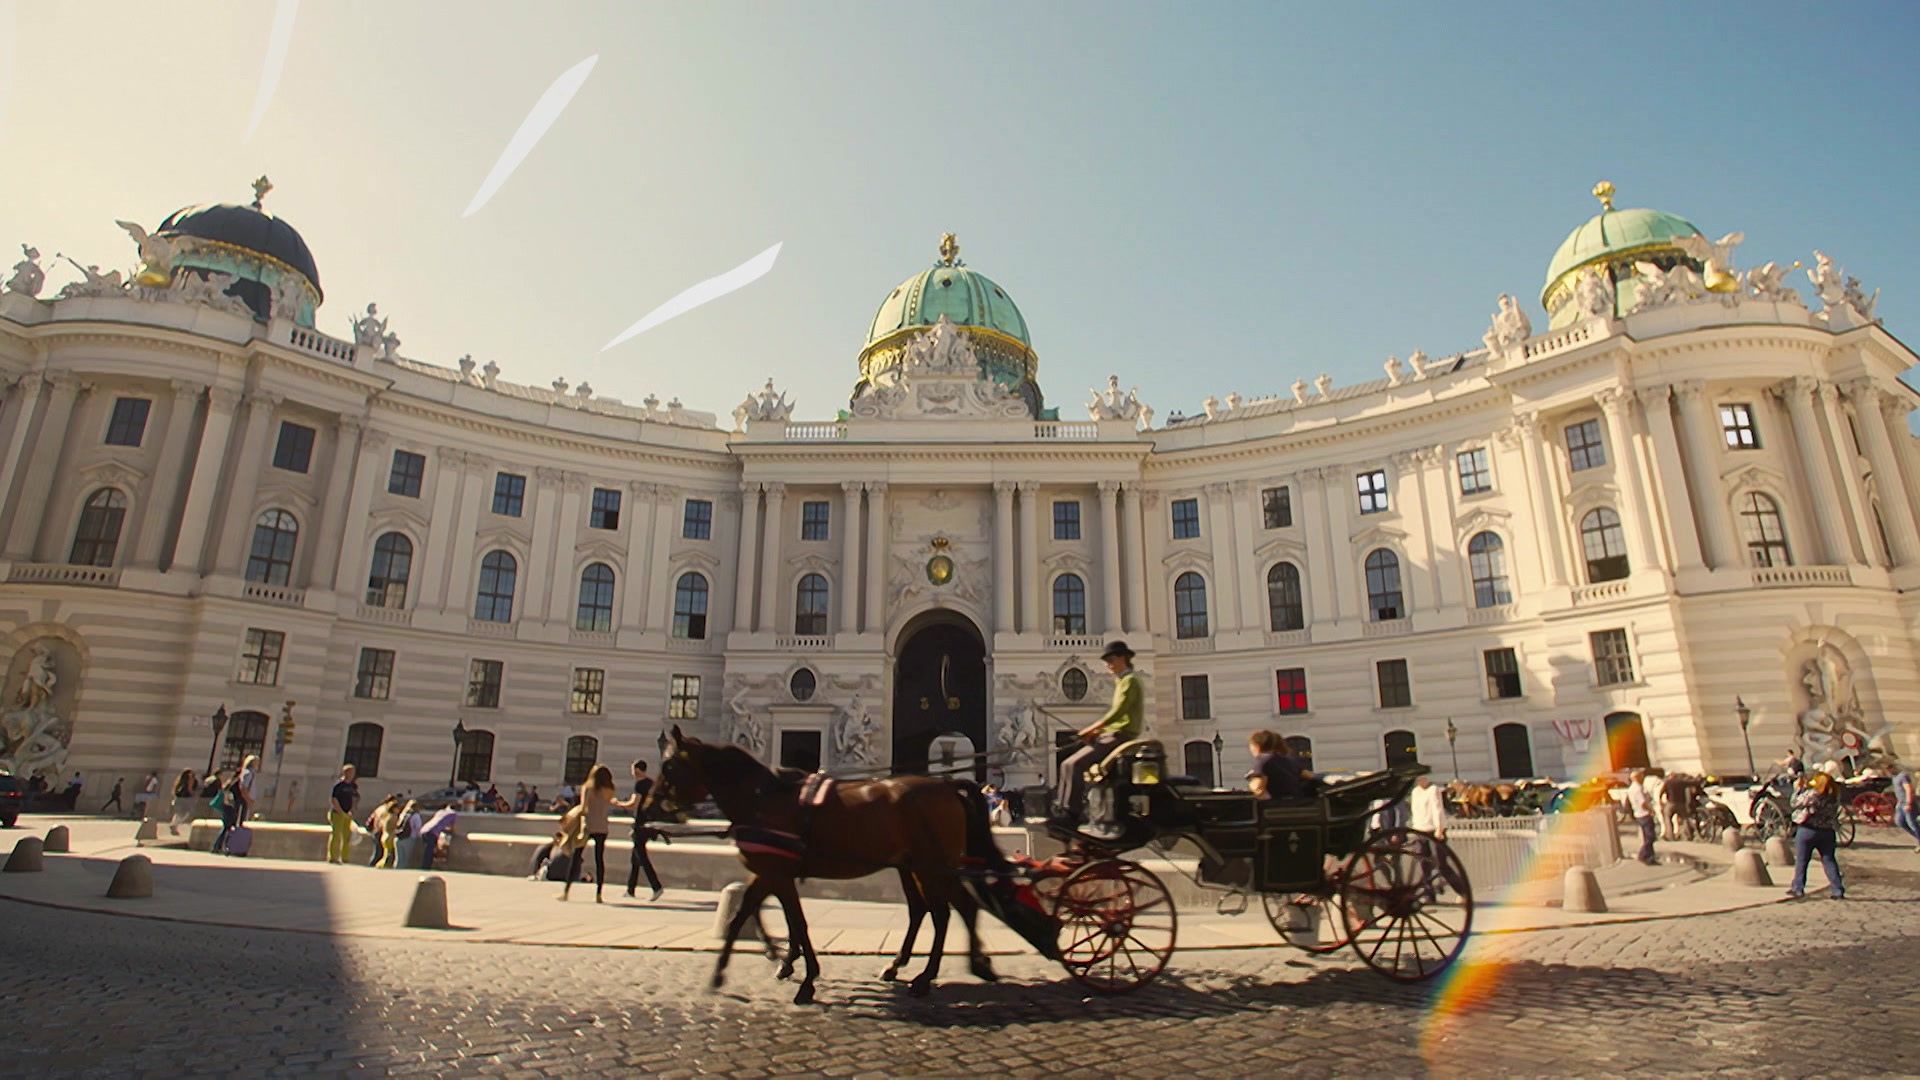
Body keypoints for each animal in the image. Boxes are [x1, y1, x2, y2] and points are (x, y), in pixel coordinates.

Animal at [648, 722, 1006, 999]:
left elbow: (796, 922)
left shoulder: (777, 873)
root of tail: (948, 785)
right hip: (917, 868)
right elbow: (749, 916)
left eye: (668, 767)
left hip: (932, 868)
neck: (764, 799)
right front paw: (730, 971)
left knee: (951, 911)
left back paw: (942, 973)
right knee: (932, 911)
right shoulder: (771, 871)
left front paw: (804, 977)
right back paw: (915, 967)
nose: (650, 806)